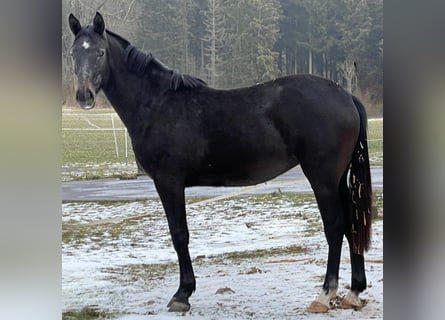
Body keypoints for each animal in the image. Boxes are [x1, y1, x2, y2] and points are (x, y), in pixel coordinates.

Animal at [68, 11, 372, 312]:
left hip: (322, 178)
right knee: (351, 224)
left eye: (100, 52)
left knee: (335, 227)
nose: (84, 95)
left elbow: (179, 234)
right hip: (339, 178)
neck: (157, 104)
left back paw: (325, 294)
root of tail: (346, 96)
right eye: (73, 53)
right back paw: (354, 292)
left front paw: (182, 294)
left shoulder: (169, 182)